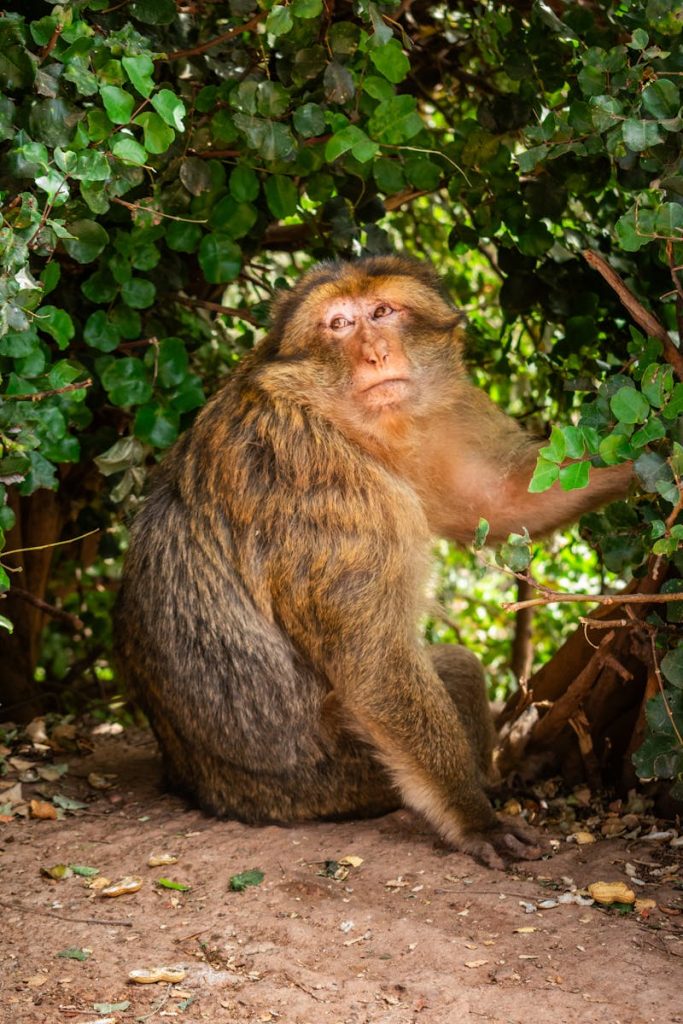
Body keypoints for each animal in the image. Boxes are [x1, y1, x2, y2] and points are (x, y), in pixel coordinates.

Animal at [114, 256, 632, 868]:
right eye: (339, 324)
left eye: (383, 312)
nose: (375, 354)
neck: (340, 419)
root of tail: (198, 782)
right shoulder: (328, 491)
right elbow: (375, 668)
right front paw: (473, 816)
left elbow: (499, 499)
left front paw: (648, 453)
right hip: (335, 783)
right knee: (452, 671)